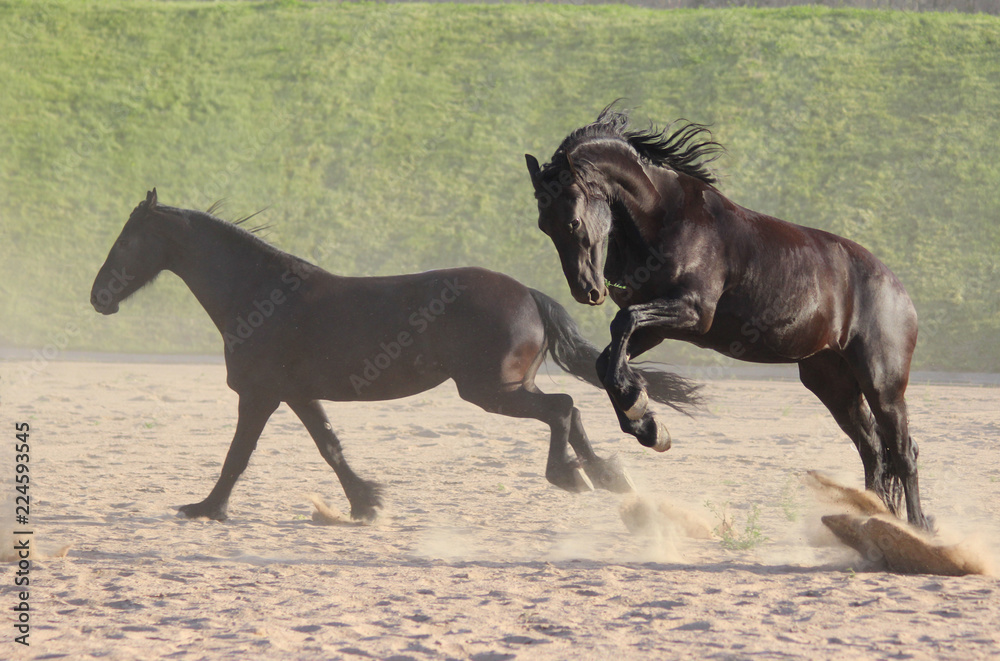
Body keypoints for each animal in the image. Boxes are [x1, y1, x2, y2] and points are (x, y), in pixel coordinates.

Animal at [90, 189, 700, 520]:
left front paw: (205, 509)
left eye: (126, 240)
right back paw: (606, 474)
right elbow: (330, 446)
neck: (261, 294)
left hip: (490, 390)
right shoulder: (296, 394)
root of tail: (529, 294)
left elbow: (239, 456)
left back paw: (571, 475)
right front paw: (365, 503)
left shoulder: (261, 394)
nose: (98, 298)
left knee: (562, 408)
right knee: (568, 409)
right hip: (504, 387)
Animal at [528, 108, 932, 532]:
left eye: (572, 221)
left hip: (882, 383)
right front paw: (647, 425)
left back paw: (919, 529)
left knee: (903, 451)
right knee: (873, 449)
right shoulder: (655, 328)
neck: (664, 218)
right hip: (832, 382)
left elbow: (622, 323)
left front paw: (641, 411)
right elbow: (607, 359)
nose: (587, 290)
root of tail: (898, 291)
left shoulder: (692, 313)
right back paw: (875, 520)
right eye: (544, 225)